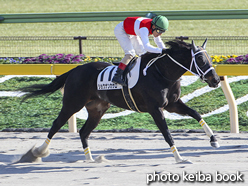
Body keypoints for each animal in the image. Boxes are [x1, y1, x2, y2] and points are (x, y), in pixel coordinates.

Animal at [20, 38, 220, 163]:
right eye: (200, 59)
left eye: (209, 58)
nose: (216, 80)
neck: (160, 73)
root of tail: (74, 70)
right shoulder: (155, 108)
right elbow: (166, 133)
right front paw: (179, 158)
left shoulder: (172, 104)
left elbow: (196, 114)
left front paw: (214, 139)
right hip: (72, 103)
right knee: (56, 124)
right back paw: (37, 152)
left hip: (97, 109)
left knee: (84, 132)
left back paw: (90, 159)